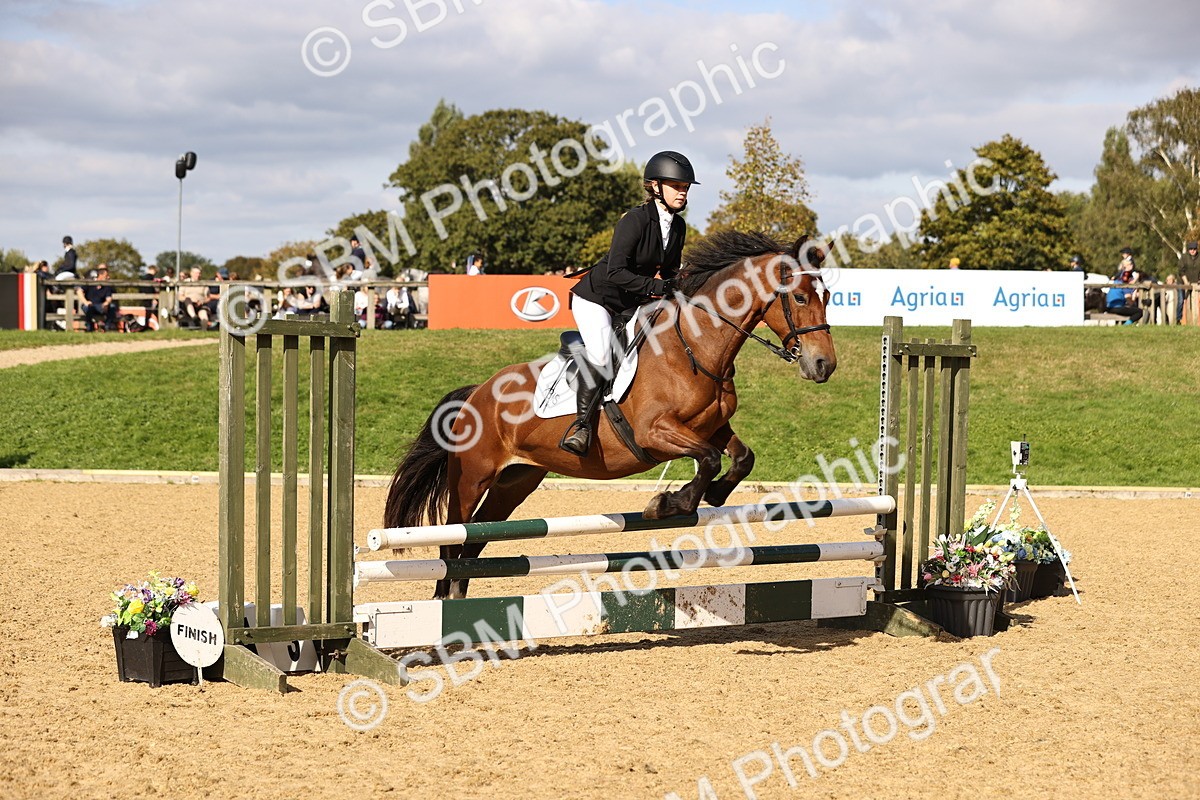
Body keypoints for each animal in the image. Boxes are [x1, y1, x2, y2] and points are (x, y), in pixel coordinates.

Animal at [384, 229, 837, 599]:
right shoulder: (655, 432)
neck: (695, 347)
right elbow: (707, 458)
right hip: (472, 477)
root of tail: (476, 394)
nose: (823, 365)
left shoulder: (712, 426)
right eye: (799, 297)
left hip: (514, 483)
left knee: (474, 541)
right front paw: (668, 503)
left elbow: (742, 457)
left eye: (828, 297)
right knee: (453, 539)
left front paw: (714, 494)